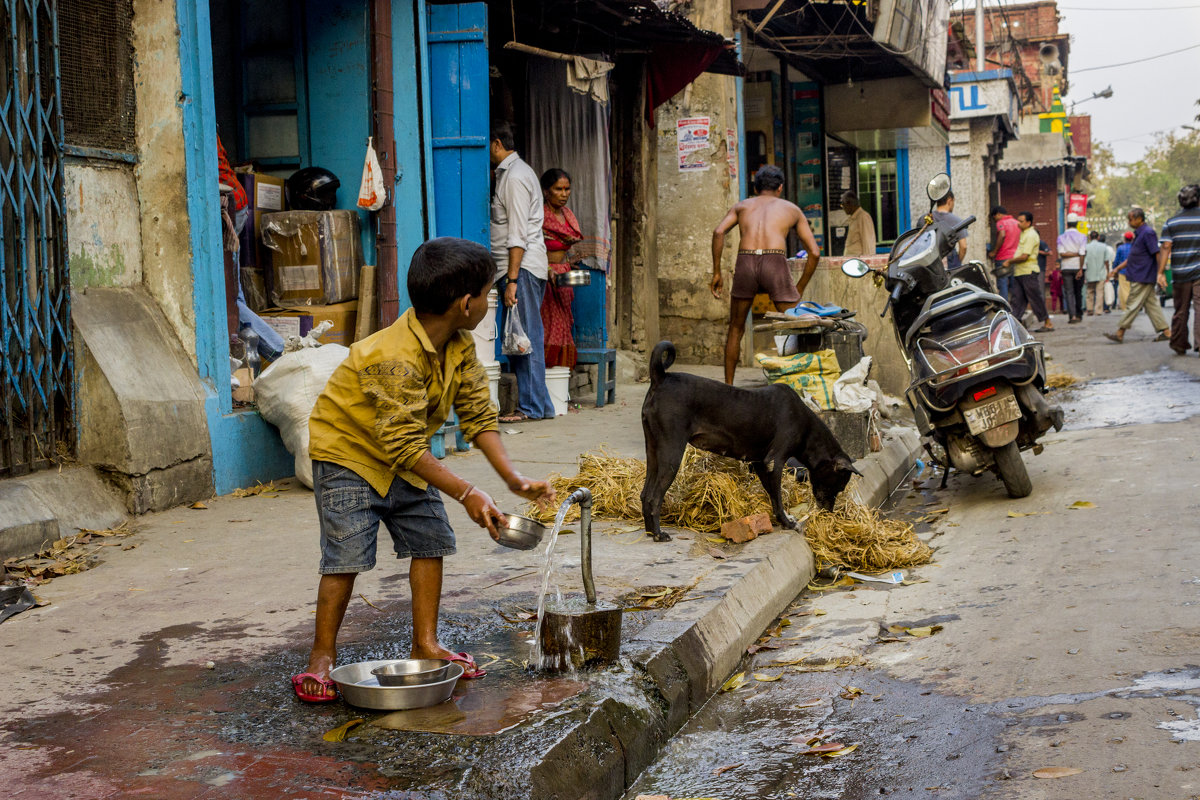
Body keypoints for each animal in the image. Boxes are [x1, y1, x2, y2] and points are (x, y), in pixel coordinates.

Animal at [643, 340, 859, 542]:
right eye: (839, 486)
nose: (828, 512)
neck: (806, 427)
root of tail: (661, 377)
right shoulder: (774, 462)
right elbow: (777, 498)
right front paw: (788, 523)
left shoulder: (760, 464)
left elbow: (773, 496)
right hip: (671, 453)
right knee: (654, 498)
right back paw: (659, 534)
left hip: (653, 451)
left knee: (645, 494)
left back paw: (649, 532)